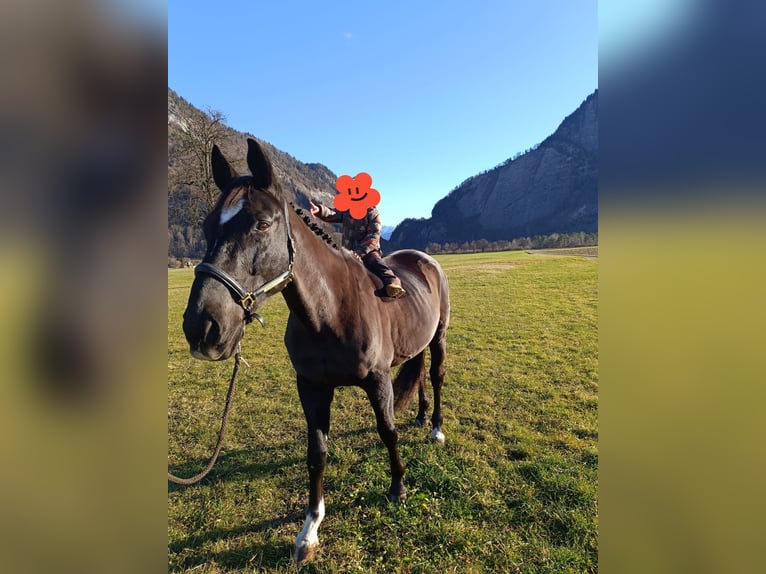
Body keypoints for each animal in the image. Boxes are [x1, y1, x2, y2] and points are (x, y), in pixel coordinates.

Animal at [182, 139, 450, 564]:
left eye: (262, 224)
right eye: (208, 227)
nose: (202, 327)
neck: (331, 311)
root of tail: (424, 260)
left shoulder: (377, 381)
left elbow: (388, 432)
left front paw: (398, 487)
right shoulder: (310, 387)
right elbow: (317, 453)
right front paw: (309, 530)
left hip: (439, 336)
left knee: (436, 376)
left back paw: (437, 427)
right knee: (420, 372)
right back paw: (423, 416)